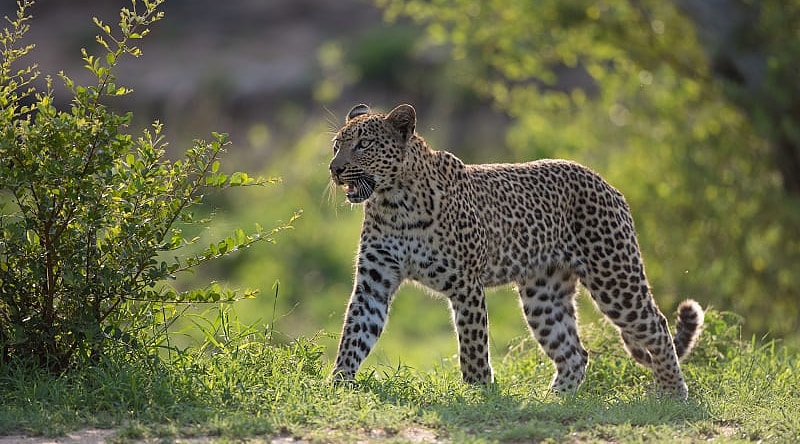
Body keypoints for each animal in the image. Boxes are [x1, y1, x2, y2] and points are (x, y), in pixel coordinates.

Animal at [328, 103, 704, 399]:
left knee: (657, 325)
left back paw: (672, 393)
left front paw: (479, 392)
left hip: (614, 277)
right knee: (574, 352)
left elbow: (473, 345)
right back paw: (554, 400)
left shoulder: (466, 285)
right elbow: (355, 332)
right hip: (543, 296)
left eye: (363, 144)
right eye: (336, 145)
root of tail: (607, 183)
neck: (394, 202)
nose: (335, 169)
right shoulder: (374, 282)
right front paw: (337, 385)